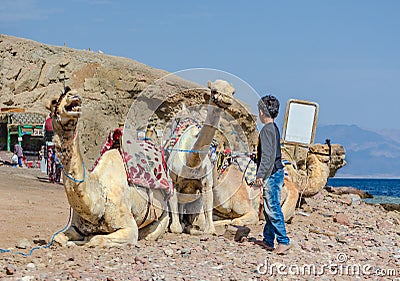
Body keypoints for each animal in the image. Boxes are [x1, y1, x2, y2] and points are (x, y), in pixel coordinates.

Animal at [48, 86, 170, 246]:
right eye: (53, 101)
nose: (73, 95)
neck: (101, 197)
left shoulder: (129, 228)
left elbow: (95, 239)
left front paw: (84, 241)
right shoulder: (76, 225)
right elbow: (57, 237)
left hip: (164, 214)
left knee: (150, 233)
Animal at [166, 80, 234, 233]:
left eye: (233, 91)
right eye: (214, 90)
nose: (227, 99)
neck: (191, 161)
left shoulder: (206, 183)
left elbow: (208, 225)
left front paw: (200, 227)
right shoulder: (172, 180)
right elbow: (176, 227)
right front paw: (179, 226)